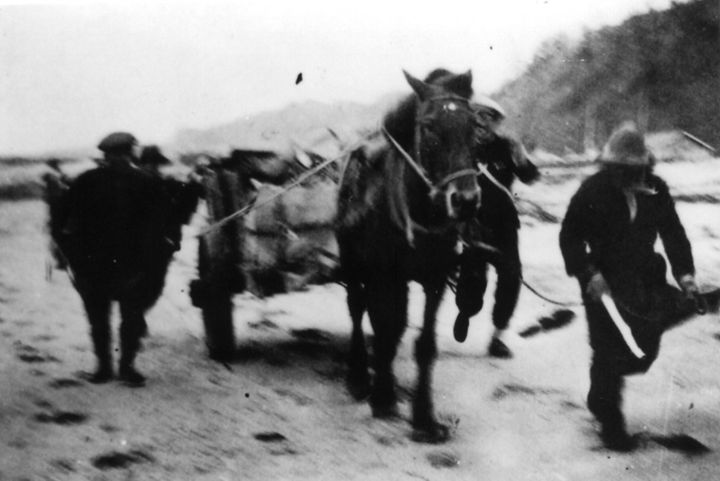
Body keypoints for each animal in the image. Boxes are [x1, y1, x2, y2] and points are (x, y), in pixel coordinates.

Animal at [336, 70, 480, 442]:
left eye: (475, 125)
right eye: (428, 126)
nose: (466, 200)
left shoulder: (436, 279)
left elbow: (424, 343)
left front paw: (424, 417)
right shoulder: (385, 274)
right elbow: (384, 326)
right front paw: (383, 397)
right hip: (352, 260)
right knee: (357, 309)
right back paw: (359, 376)